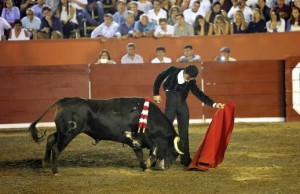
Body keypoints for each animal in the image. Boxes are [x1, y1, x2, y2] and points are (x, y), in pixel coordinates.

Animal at [29, 97, 183, 173]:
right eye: (174, 152)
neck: (147, 117)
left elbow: (145, 153)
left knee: (51, 138)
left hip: (63, 131)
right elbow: (145, 152)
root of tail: (64, 101)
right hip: (68, 133)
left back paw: (45, 163)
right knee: (56, 148)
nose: (167, 167)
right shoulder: (133, 138)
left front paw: (145, 166)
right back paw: (55, 170)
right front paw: (146, 166)